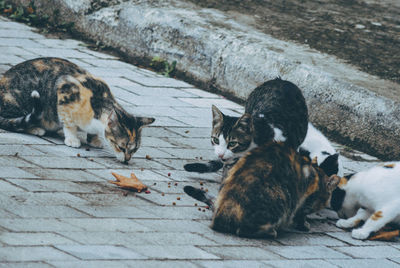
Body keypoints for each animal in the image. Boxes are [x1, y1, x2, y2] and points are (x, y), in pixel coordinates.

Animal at [0, 57, 155, 162]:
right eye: (121, 147)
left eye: (135, 149)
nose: (127, 160)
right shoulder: (65, 89)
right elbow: (68, 123)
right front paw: (72, 139)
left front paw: (94, 139)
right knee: (14, 122)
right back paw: (36, 128)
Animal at [186, 141, 340, 238]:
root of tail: (222, 214)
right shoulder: (304, 202)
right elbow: (301, 214)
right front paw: (304, 224)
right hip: (280, 203)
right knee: (243, 230)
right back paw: (272, 232)